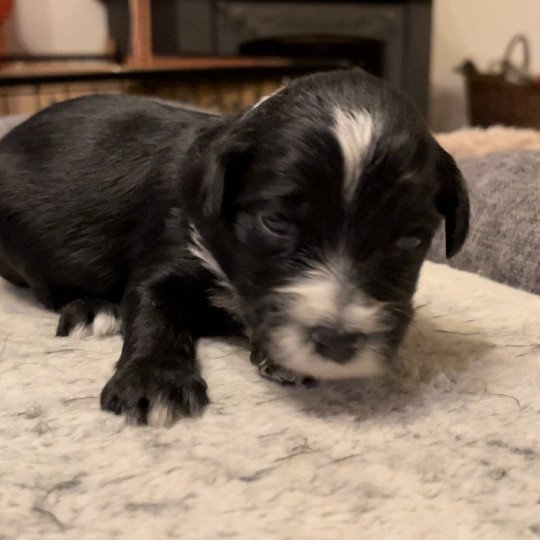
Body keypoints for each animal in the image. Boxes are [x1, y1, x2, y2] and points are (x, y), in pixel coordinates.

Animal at [0, 69, 468, 426]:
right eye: (275, 221)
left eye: (410, 239)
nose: (337, 344)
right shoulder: (171, 246)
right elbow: (151, 308)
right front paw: (154, 382)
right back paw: (91, 309)